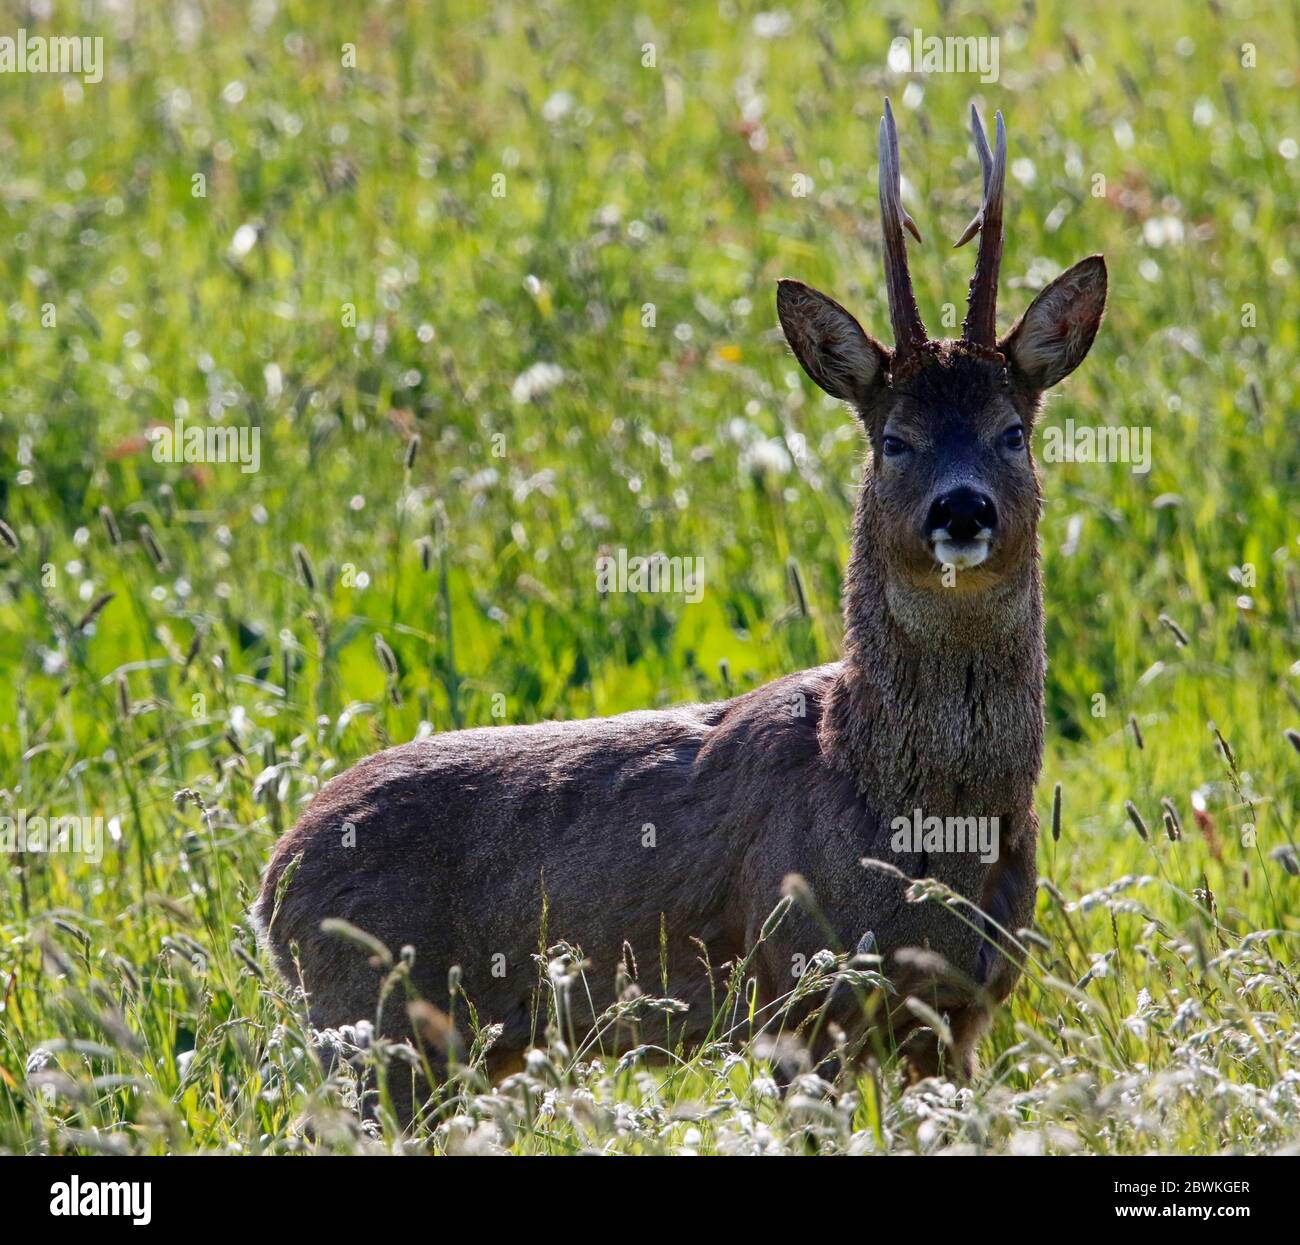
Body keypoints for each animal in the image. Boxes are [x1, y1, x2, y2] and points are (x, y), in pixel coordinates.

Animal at [253, 99, 1107, 1117]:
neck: (918, 817)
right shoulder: (798, 990)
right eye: (893, 440)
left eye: (1012, 432)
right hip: (370, 1033)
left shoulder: (962, 1012)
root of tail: (272, 882)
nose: (963, 509)